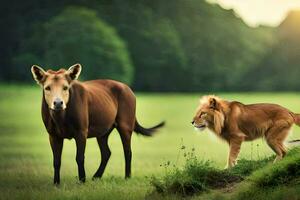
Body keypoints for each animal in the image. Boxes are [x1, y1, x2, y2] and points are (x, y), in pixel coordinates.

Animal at [31, 64, 164, 184]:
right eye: (47, 87)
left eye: (65, 87)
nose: (58, 103)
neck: (60, 119)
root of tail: (129, 90)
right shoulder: (52, 134)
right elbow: (56, 161)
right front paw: (56, 183)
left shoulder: (81, 131)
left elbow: (80, 157)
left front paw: (82, 180)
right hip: (103, 131)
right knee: (106, 153)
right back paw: (96, 176)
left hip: (126, 124)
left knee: (127, 151)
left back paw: (127, 177)